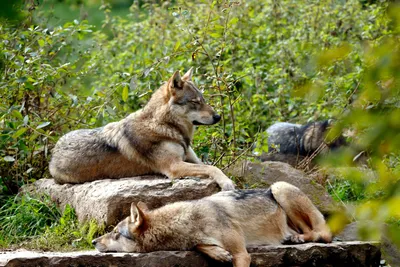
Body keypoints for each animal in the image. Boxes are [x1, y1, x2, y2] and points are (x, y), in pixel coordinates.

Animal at [50, 68, 238, 191]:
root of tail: (54, 151)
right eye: (195, 102)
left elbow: (213, 166)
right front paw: (227, 183)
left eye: (203, 100)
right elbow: (212, 168)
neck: (166, 126)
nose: (218, 117)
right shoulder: (174, 166)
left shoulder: (192, 160)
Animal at [93, 181, 332, 266]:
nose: (94, 241)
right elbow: (201, 245)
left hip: (279, 187)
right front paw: (218, 253)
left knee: (323, 234)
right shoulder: (197, 240)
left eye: (115, 232)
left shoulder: (242, 254)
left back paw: (296, 237)